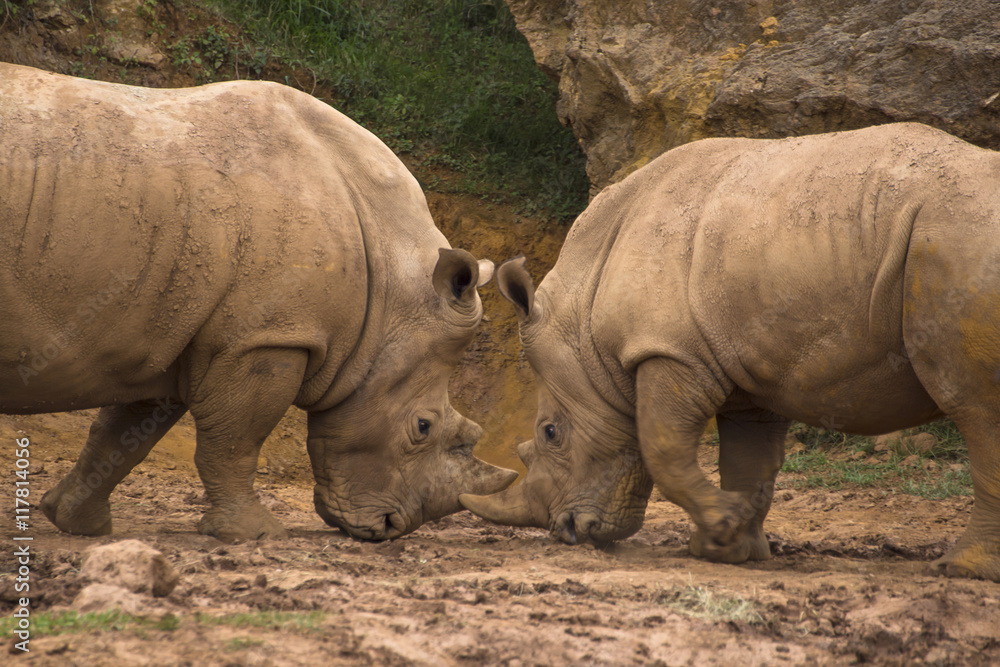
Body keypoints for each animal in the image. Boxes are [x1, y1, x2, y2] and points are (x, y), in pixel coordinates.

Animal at [0, 63, 517, 543]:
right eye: (424, 427)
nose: (391, 527)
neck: (393, 283)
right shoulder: (265, 337)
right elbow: (234, 440)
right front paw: (255, 534)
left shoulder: (170, 333)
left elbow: (123, 435)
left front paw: (78, 524)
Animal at [461, 123, 1000, 582]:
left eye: (550, 433)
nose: (570, 532)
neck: (583, 325)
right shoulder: (752, 373)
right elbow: (749, 460)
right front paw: (729, 548)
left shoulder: (667, 351)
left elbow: (663, 446)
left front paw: (723, 526)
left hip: (954, 240)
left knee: (973, 406)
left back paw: (961, 570)